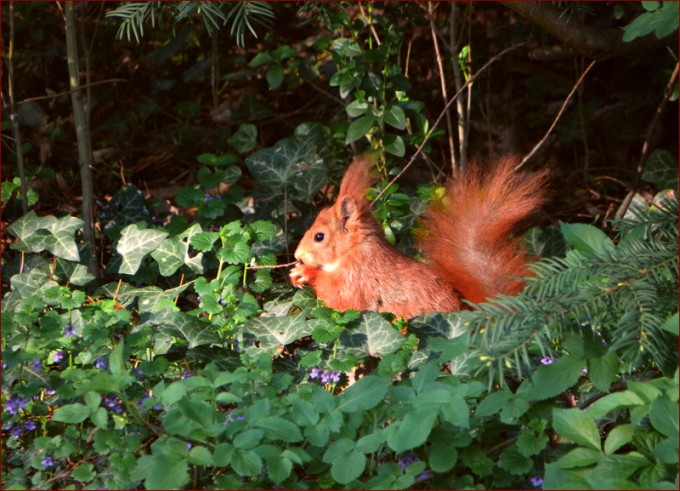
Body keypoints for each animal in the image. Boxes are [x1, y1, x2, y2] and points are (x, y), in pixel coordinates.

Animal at [290, 154, 548, 319]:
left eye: (319, 236)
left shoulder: (358, 277)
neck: (354, 249)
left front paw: (306, 273)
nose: (297, 255)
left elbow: (340, 297)